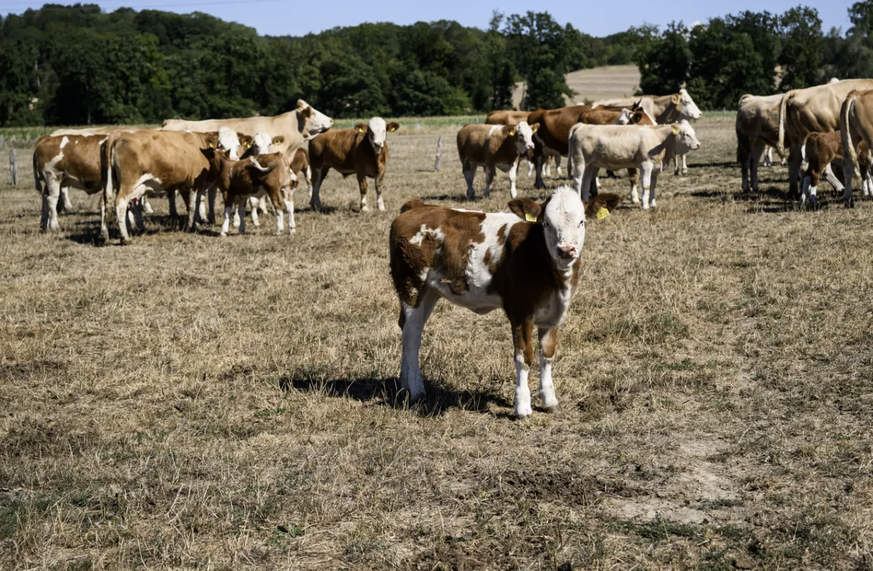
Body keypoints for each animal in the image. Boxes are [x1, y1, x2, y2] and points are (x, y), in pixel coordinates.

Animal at [160, 100, 330, 221]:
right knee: (173, 193)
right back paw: (176, 214)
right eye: (313, 112)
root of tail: (169, 122)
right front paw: (263, 210)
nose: (331, 120)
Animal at [388, 190, 620, 418]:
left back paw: (404, 382)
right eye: (546, 224)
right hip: (411, 285)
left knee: (409, 328)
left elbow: (547, 354)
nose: (565, 249)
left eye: (582, 222)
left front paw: (549, 400)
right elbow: (524, 356)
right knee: (412, 335)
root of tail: (417, 206)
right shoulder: (520, 311)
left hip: (429, 291)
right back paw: (416, 390)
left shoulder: (553, 313)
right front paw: (522, 407)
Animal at [564, 120, 700, 210]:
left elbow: (653, 186)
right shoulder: (645, 165)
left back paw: (586, 201)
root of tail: (582, 125)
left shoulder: (655, 168)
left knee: (586, 182)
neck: (660, 140)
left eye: (693, 132)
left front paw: (653, 204)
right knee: (578, 181)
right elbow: (646, 185)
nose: (698, 145)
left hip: (590, 164)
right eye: (686, 134)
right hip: (580, 161)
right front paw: (645, 205)